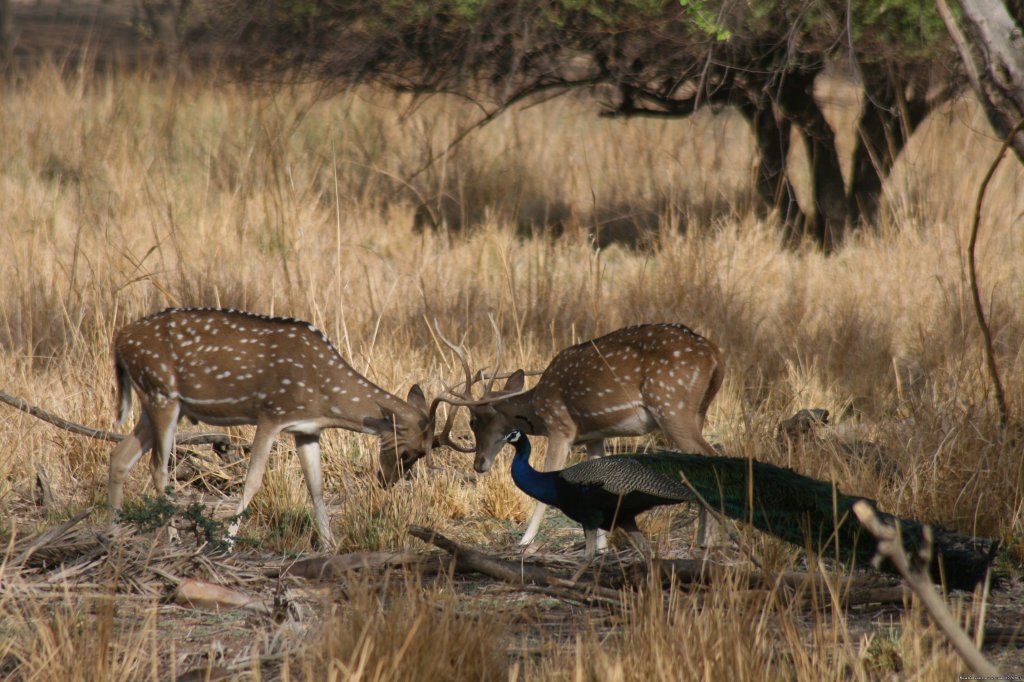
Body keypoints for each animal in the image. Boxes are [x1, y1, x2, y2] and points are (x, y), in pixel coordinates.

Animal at [108, 305, 444, 544]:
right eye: (410, 451)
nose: (386, 480)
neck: (324, 397)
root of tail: (119, 340)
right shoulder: (271, 413)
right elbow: (253, 480)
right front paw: (227, 542)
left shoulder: (306, 429)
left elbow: (316, 487)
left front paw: (329, 546)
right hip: (162, 393)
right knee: (158, 468)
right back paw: (173, 538)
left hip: (154, 403)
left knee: (120, 457)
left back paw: (111, 532)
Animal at [436, 319, 724, 548]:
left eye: (473, 421)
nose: (478, 464)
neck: (538, 407)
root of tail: (715, 355)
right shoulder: (595, 435)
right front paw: (601, 547)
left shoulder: (560, 428)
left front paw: (525, 541)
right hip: (698, 411)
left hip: (672, 406)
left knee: (711, 459)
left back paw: (708, 542)